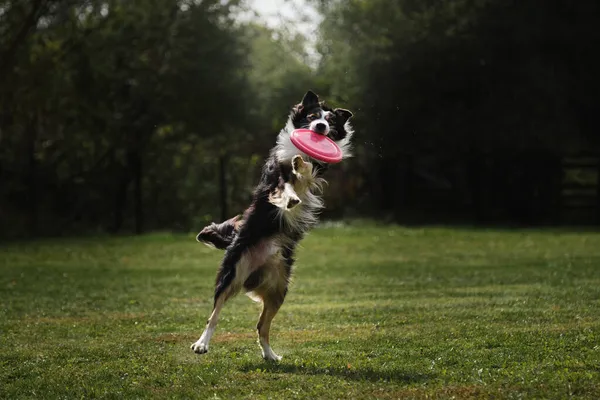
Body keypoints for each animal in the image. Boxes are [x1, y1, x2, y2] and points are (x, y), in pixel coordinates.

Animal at [190, 92, 354, 360]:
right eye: (312, 116)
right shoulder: (274, 176)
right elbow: (284, 187)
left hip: (279, 288)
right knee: (214, 315)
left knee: (261, 326)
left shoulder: (315, 172)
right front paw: (291, 195)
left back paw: (270, 355)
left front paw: (300, 165)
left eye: (330, 121)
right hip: (233, 272)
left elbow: (306, 172)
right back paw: (201, 344)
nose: (320, 127)